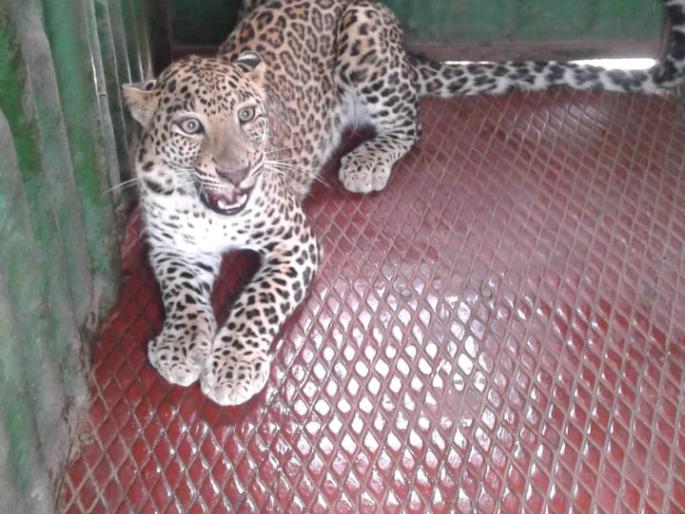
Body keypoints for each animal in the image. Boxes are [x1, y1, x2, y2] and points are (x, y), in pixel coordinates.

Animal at [122, 0, 685, 406]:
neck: (205, 208)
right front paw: (180, 345)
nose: (237, 171)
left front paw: (233, 364)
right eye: (190, 125)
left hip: (364, 40)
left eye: (247, 114)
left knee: (410, 124)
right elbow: (181, 297)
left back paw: (368, 161)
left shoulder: (294, 241)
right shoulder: (171, 248)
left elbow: (258, 301)